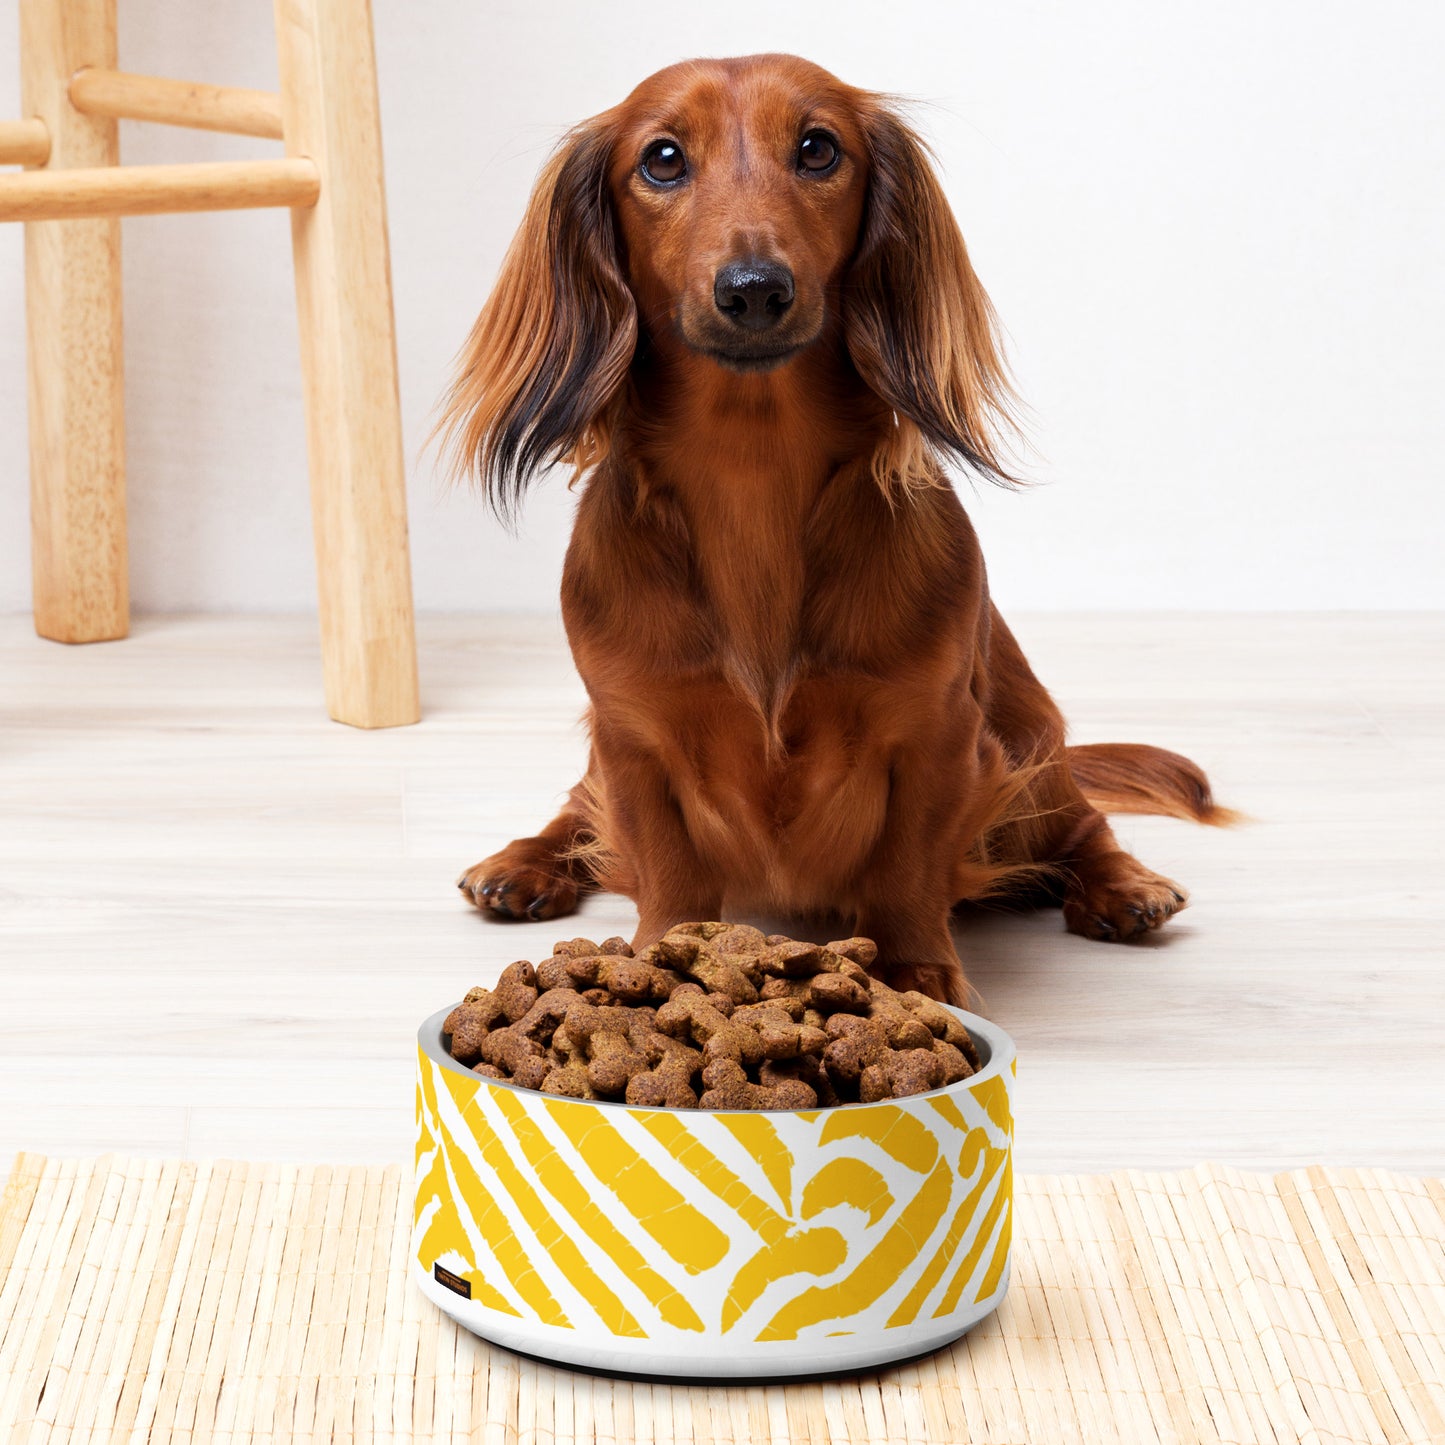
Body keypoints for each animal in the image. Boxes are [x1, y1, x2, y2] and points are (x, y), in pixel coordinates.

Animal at [442, 56, 1231, 1005]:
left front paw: (916, 971)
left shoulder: (936, 733)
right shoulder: (632, 736)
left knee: (1081, 823)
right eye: (661, 159)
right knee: (576, 810)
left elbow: (905, 866)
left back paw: (1123, 886)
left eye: (818, 148)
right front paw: (660, 959)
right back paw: (522, 863)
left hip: (1028, 744)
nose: (753, 290)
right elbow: (665, 866)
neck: (752, 472)